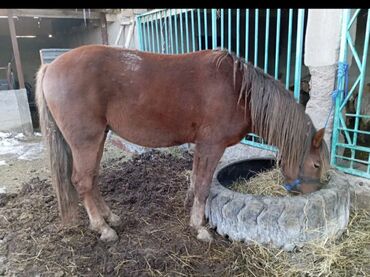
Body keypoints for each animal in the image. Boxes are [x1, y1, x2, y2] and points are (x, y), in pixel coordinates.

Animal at [35, 45, 330, 242]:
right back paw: (103, 229)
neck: (239, 91)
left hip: (98, 137)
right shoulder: (212, 145)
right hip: (86, 140)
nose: (309, 193)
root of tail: (51, 67)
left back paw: (111, 218)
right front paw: (199, 227)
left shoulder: (202, 145)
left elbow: (196, 179)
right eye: (316, 164)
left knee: (92, 178)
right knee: (82, 181)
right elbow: (203, 184)